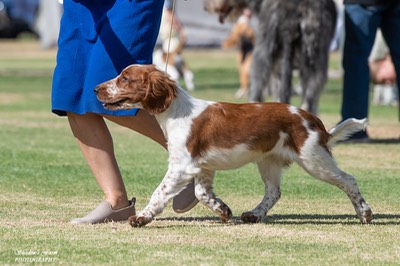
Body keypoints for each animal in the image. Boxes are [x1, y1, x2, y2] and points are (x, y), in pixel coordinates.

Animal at [94, 64, 372, 227]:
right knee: (274, 192)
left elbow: (159, 192)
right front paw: (223, 210)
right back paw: (254, 215)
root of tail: (314, 120)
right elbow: (201, 193)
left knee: (348, 179)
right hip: (268, 161)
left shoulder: (181, 165)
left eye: (125, 78)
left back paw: (365, 213)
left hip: (314, 159)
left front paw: (141, 217)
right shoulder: (202, 166)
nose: (96, 88)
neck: (176, 111)